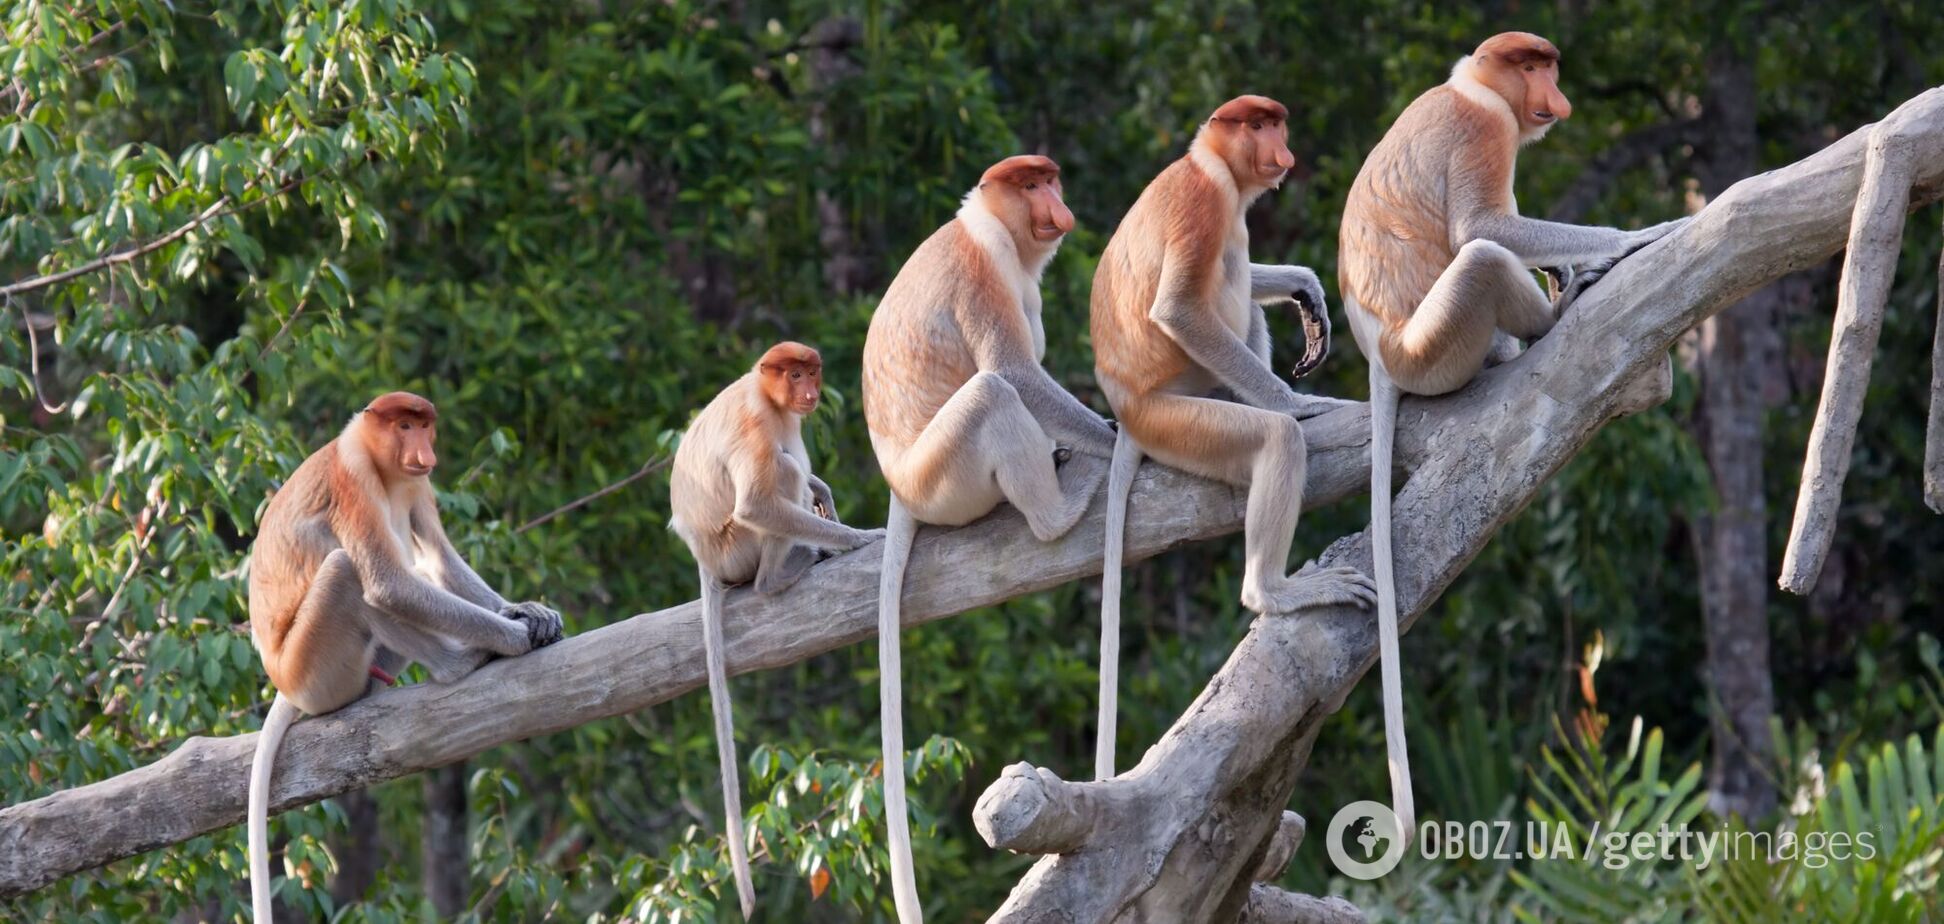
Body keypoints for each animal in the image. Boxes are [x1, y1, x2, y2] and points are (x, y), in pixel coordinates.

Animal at [246, 394, 567, 922]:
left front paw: (527, 611)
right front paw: (514, 636)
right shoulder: (353, 478)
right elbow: (386, 583)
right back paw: (462, 661)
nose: (422, 450)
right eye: (402, 426)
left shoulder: (419, 483)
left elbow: (437, 556)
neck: (382, 466)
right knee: (352, 573)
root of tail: (283, 681)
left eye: (423, 425)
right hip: (315, 670)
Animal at [668, 340, 882, 918]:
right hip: (736, 547)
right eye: (793, 374)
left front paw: (824, 493)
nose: (808, 391)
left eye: (811, 372)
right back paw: (782, 573)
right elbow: (758, 502)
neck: (765, 393)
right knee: (780, 473)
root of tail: (704, 558)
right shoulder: (757, 424)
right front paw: (858, 537)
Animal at [863, 153, 1119, 924]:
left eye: (1050, 180)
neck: (991, 228)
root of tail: (901, 485)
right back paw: (1062, 504)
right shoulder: (982, 273)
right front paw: (1117, 438)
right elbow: (1014, 372)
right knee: (992, 394)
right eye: (1030, 184)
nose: (1058, 207)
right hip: (947, 475)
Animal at [1096, 95, 1384, 781]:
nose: (1283, 150)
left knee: (1246, 299)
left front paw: (1307, 290)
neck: (1211, 164)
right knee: (1271, 435)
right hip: (1178, 417)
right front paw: (1301, 403)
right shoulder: (1208, 204)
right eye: (1260, 126)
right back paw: (1274, 590)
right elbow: (1178, 309)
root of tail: (1127, 408)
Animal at [1345, 32, 1695, 844]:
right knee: (1481, 258)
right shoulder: (1487, 131)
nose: (1556, 98)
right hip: (1437, 347)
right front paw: (1631, 239)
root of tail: (1380, 352)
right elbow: (1481, 227)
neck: (1471, 86)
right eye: (1533, 67)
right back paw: (1551, 314)